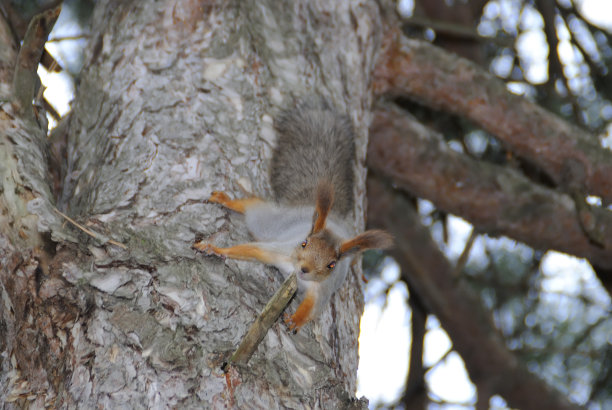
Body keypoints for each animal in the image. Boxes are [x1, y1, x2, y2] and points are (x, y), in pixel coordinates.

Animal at [196, 101, 394, 332]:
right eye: (304, 243)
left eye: (332, 265)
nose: (304, 269)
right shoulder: (279, 251)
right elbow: (249, 250)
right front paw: (215, 249)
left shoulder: (322, 289)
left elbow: (312, 308)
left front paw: (295, 319)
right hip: (269, 223)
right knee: (253, 209)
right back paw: (226, 201)